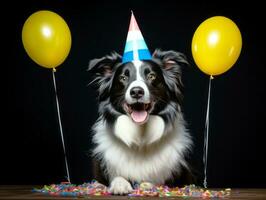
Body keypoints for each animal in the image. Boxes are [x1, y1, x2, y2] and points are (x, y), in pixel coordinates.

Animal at [88, 48, 194, 194]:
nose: (137, 91)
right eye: (123, 78)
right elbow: (116, 176)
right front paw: (120, 184)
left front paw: (146, 184)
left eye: (151, 76)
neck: (140, 138)